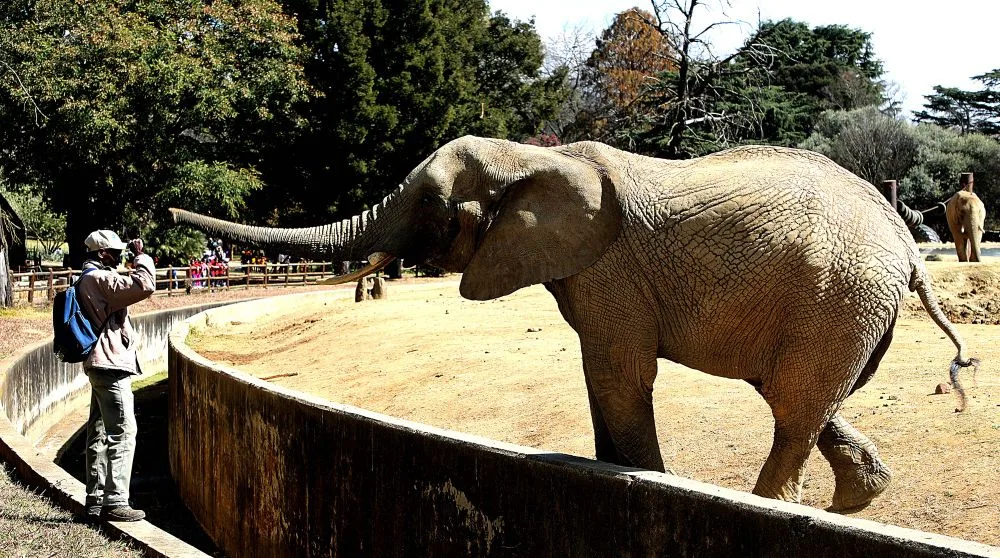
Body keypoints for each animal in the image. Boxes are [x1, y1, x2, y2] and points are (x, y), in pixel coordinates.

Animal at [170, 136, 979, 513]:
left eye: (430, 204)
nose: (171, 211)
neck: (533, 154)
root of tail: (907, 244)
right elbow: (602, 379)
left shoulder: (609, 269)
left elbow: (618, 375)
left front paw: (651, 484)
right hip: (844, 307)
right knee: (804, 401)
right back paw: (856, 502)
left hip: (836, 294)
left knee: (793, 408)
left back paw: (773, 504)